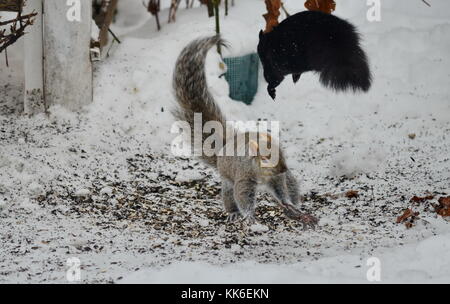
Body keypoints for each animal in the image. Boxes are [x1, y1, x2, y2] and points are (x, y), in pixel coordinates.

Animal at [171, 36, 316, 228]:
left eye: (282, 153)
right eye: (266, 157)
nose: (284, 168)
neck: (262, 175)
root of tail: (224, 147)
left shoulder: (277, 179)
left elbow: (281, 192)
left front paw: (287, 203)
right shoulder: (244, 177)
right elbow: (243, 197)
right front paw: (249, 216)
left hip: (289, 180)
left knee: (291, 188)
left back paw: (297, 209)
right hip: (228, 182)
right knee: (230, 196)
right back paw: (233, 213)